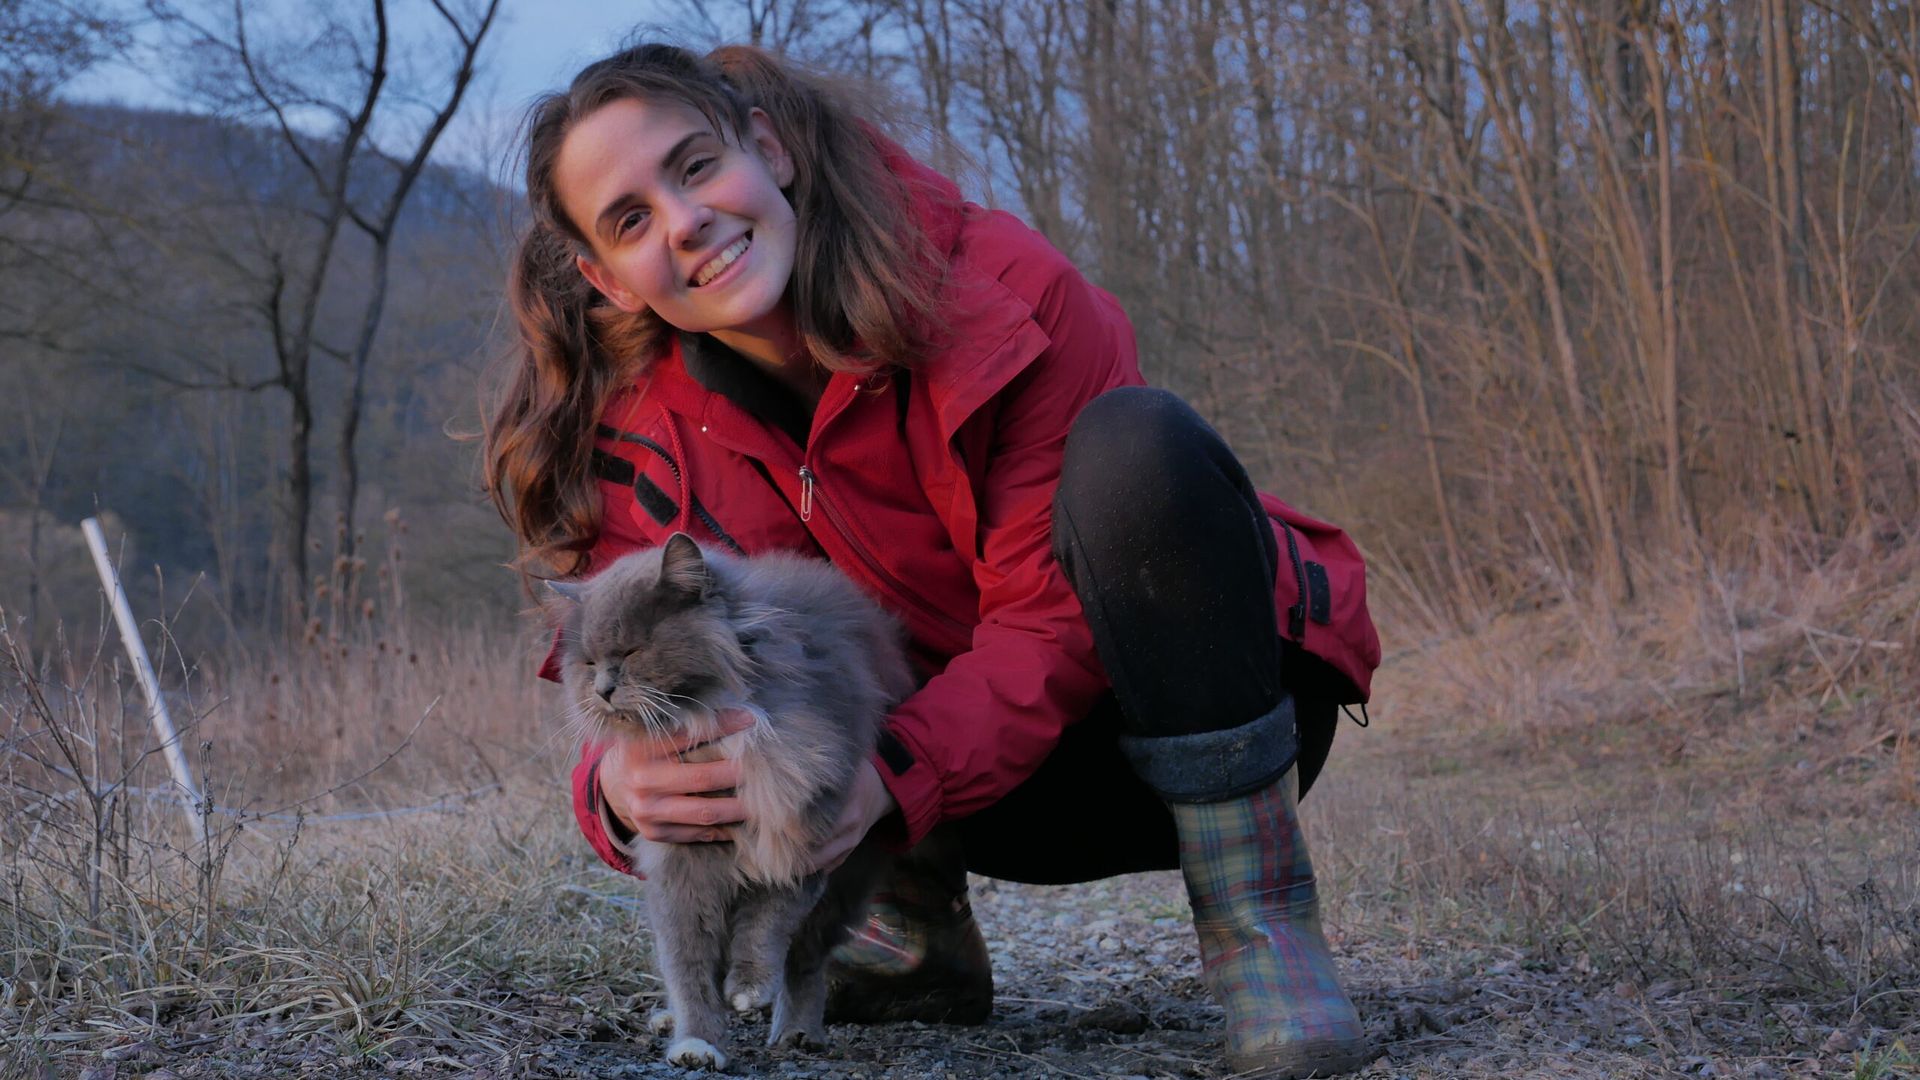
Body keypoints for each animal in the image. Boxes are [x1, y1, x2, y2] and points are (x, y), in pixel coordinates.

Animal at [552, 530, 917, 1068]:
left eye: (633, 650)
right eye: (589, 663)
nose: (602, 689)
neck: (704, 717)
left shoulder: (796, 838)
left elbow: (766, 928)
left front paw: (747, 991)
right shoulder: (680, 864)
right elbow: (688, 966)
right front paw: (696, 1043)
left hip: (844, 883)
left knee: (806, 960)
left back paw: (798, 1033)